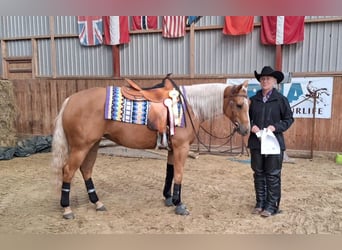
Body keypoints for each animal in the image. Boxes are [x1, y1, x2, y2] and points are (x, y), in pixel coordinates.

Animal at [51, 76, 248, 219]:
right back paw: (67, 209)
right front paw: (179, 204)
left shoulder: (172, 148)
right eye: (239, 105)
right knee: (68, 171)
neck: (188, 106)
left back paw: (97, 203)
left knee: (86, 170)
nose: (246, 129)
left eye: (249, 104)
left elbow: (170, 171)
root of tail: (70, 100)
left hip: (93, 144)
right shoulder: (181, 148)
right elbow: (178, 174)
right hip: (80, 147)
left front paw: (168, 198)